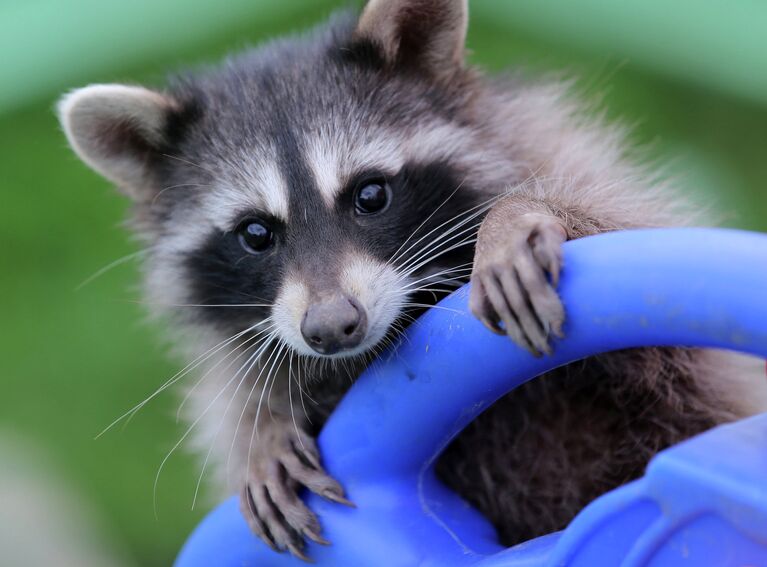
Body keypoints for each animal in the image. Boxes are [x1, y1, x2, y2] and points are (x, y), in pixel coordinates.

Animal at [57, 0, 764, 560]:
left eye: (370, 194)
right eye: (256, 234)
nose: (332, 328)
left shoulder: (556, 152)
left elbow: (647, 267)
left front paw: (519, 217)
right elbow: (243, 379)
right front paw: (261, 425)